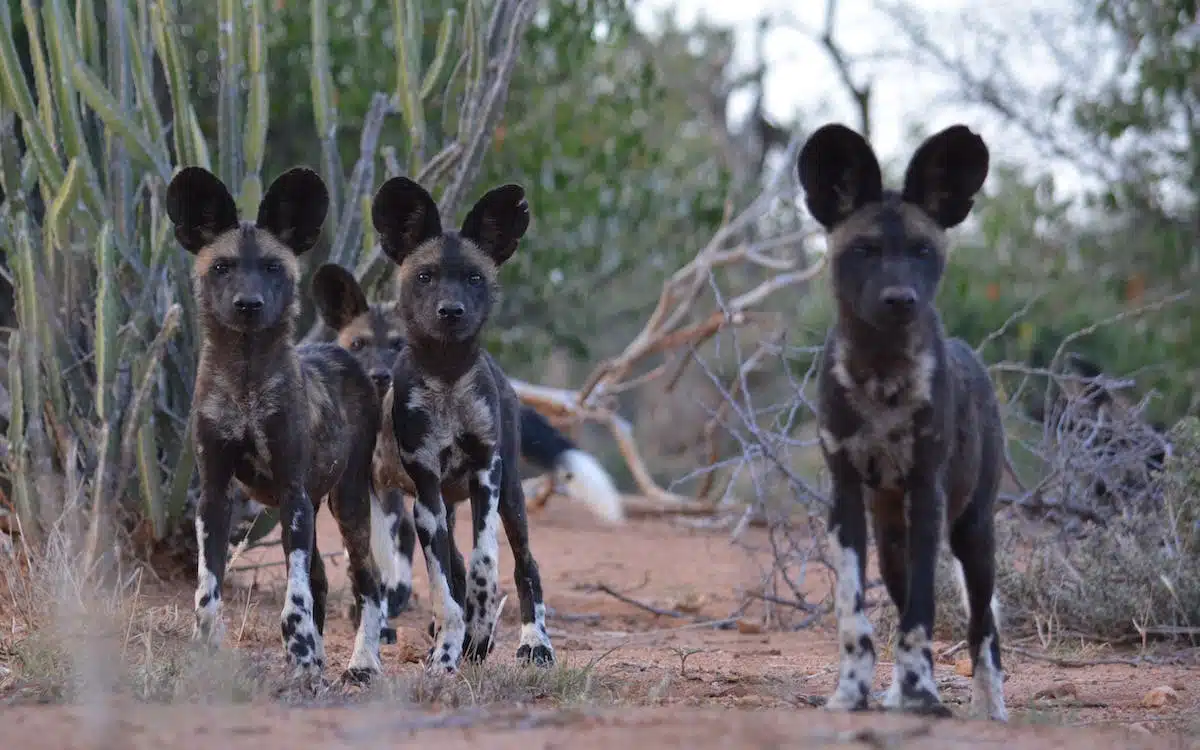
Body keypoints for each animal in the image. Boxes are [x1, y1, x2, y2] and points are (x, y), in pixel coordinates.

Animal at [169, 163, 381, 686]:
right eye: (222, 267)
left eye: (271, 268)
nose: (248, 304)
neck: (246, 383)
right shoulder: (214, 495)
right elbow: (207, 591)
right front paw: (205, 652)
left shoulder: (292, 493)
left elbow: (295, 598)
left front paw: (301, 657)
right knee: (323, 580)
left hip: (347, 505)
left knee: (369, 584)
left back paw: (361, 663)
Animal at [309, 260, 624, 633]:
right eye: (358, 344)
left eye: (400, 346)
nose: (380, 375)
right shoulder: (364, 487)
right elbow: (371, 555)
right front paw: (368, 615)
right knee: (451, 560)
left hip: (505, 494)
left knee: (520, 564)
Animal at [367, 175, 554, 672]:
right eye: (425, 277)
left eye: (474, 278)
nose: (451, 311)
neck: (447, 375)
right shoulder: (427, 492)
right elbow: (443, 586)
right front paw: (449, 650)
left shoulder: (488, 474)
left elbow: (484, 564)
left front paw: (482, 629)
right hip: (440, 508)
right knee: (449, 568)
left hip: (512, 497)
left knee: (526, 566)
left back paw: (535, 643)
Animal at [796, 123, 1012, 720]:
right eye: (865, 251)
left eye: (921, 251)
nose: (900, 299)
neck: (881, 375)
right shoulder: (846, 498)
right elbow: (854, 616)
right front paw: (853, 694)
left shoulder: (927, 494)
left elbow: (920, 618)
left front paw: (922, 695)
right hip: (892, 537)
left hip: (972, 534)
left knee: (984, 627)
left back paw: (991, 709)